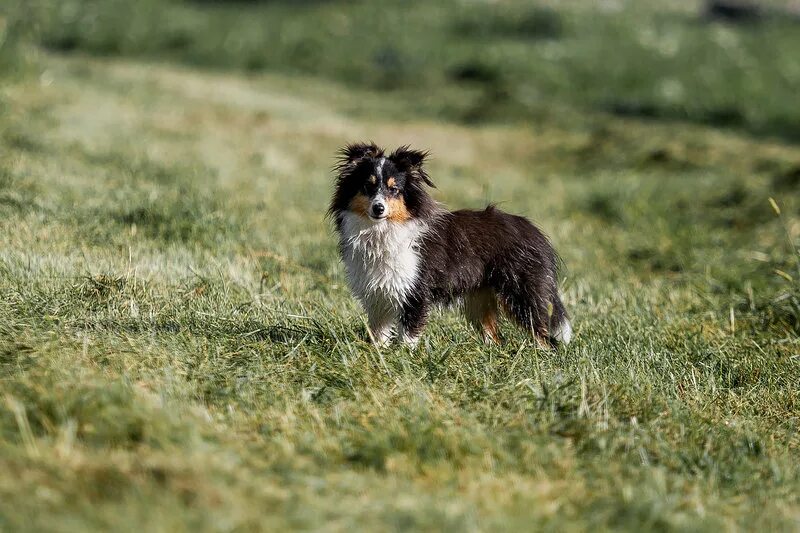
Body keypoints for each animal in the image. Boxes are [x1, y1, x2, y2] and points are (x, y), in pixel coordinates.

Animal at [328, 143, 572, 348]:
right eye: (367, 186)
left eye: (394, 189)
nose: (378, 208)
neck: (382, 230)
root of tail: (535, 232)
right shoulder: (377, 293)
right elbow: (379, 331)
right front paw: (378, 353)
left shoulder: (415, 290)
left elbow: (408, 334)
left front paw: (404, 357)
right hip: (480, 297)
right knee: (495, 336)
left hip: (521, 291)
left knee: (542, 334)